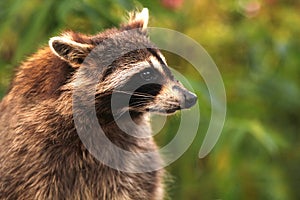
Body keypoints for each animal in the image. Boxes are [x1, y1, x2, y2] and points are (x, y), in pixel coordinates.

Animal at [0, 8, 197, 199]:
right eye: (147, 74)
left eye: (166, 66)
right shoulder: (30, 155)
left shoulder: (130, 156)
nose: (191, 97)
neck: (110, 118)